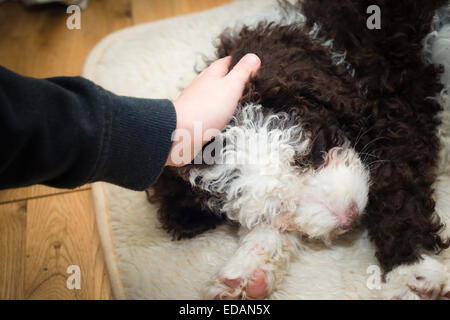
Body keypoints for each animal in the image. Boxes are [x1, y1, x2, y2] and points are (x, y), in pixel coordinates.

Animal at [149, 0, 450, 300]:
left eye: (314, 152)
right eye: (279, 209)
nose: (350, 216)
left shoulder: (398, 118)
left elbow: (397, 192)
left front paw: (412, 270)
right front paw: (248, 269)